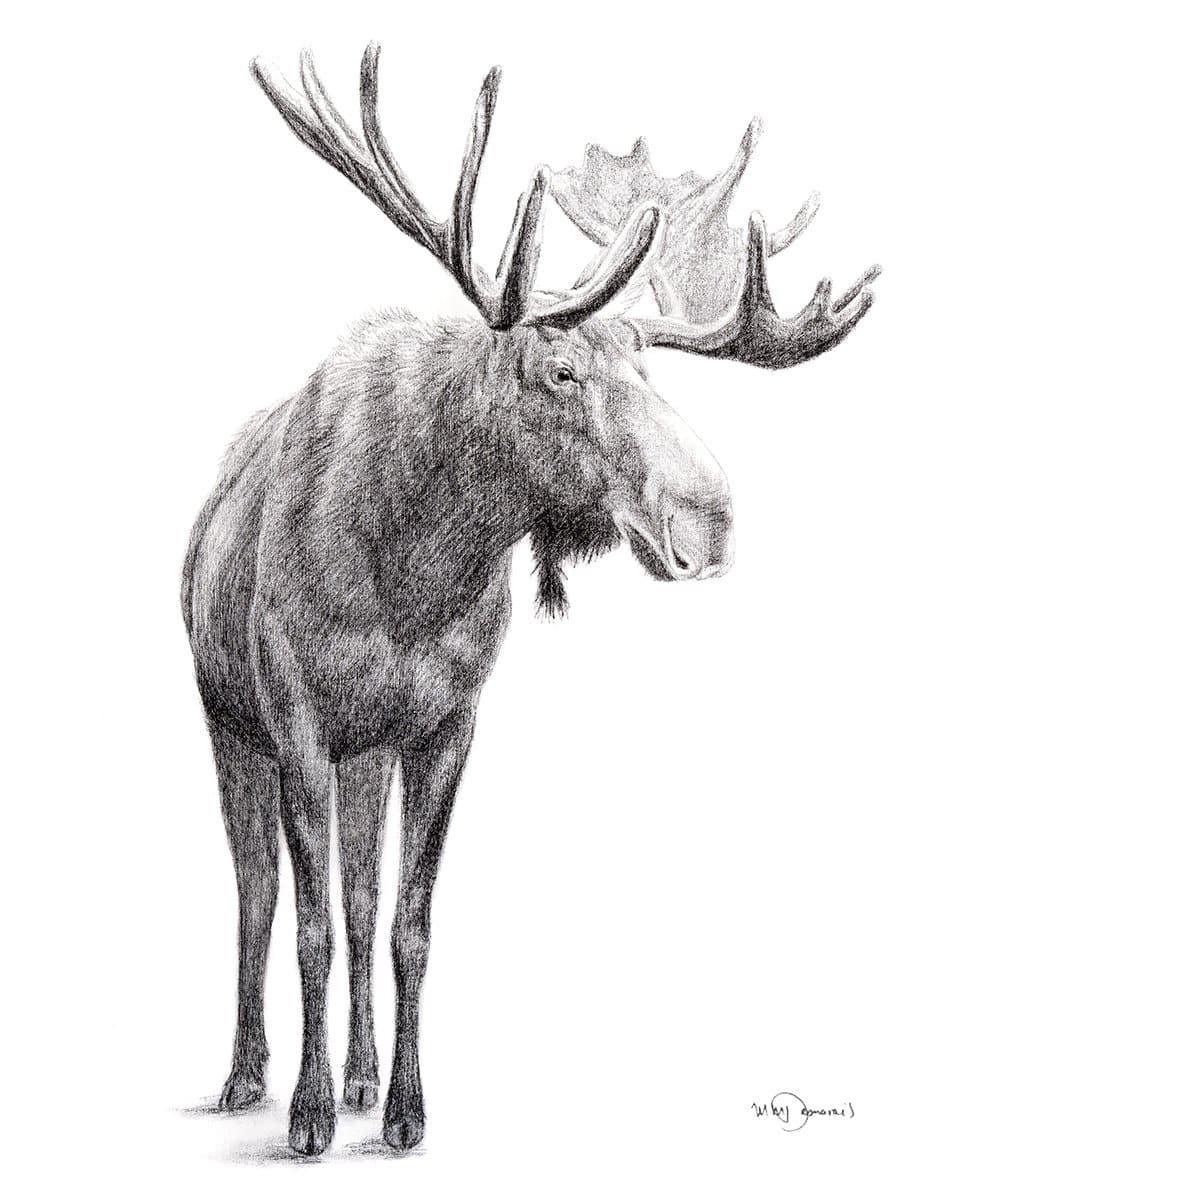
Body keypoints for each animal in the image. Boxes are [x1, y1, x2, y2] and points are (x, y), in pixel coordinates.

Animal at [181, 43, 879, 1157]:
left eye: (645, 361)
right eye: (559, 367)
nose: (709, 521)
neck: (411, 574)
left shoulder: (448, 722)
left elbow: (408, 922)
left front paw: (405, 1111)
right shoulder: (294, 721)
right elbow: (307, 924)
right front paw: (306, 1115)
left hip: (366, 751)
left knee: (360, 890)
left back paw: (361, 1076)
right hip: (228, 719)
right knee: (257, 896)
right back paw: (249, 1078)